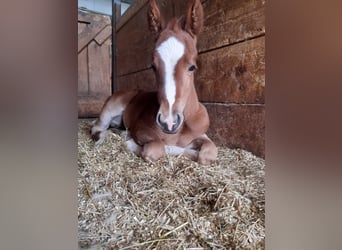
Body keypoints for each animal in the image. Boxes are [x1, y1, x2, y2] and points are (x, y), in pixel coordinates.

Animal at [92, 0, 218, 165]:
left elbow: (208, 154)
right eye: (153, 66)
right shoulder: (141, 130)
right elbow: (156, 148)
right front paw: (130, 142)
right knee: (96, 129)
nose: (169, 122)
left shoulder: (201, 135)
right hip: (109, 110)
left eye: (192, 67)